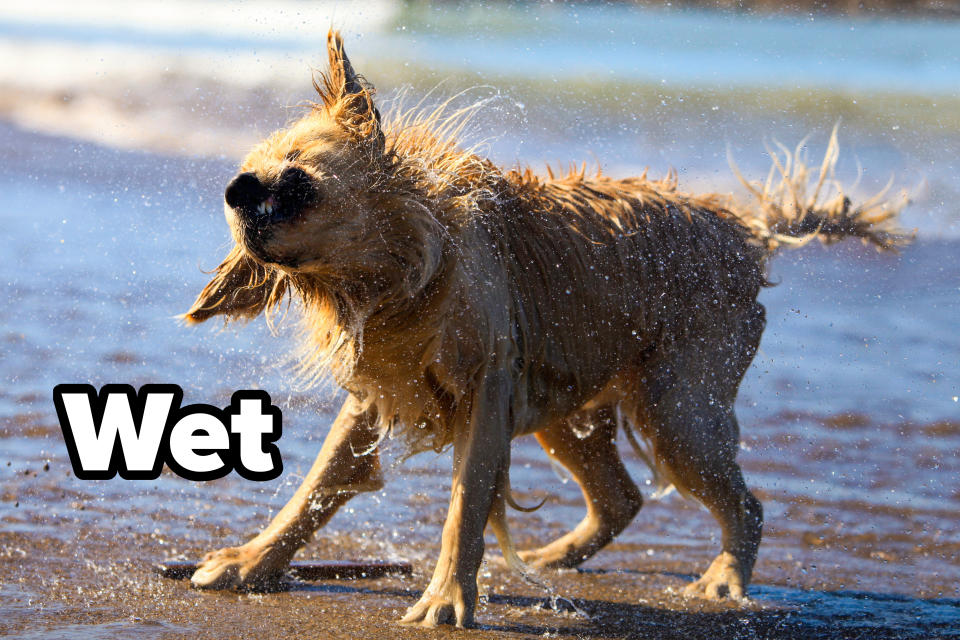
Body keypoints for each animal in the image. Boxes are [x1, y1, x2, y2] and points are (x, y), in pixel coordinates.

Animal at [182, 31, 908, 632]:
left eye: (295, 175)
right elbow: (317, 485)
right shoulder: (379, 393)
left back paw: (724, 581)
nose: (235, 190)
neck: (399, 277)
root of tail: (750, 234)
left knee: (744, 504)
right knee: (621, 497)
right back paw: (554, 557)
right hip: (567, 405)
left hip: (677, 409)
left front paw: (447, 598)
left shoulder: (487, 392)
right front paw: (253, 562)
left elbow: (465, 506)